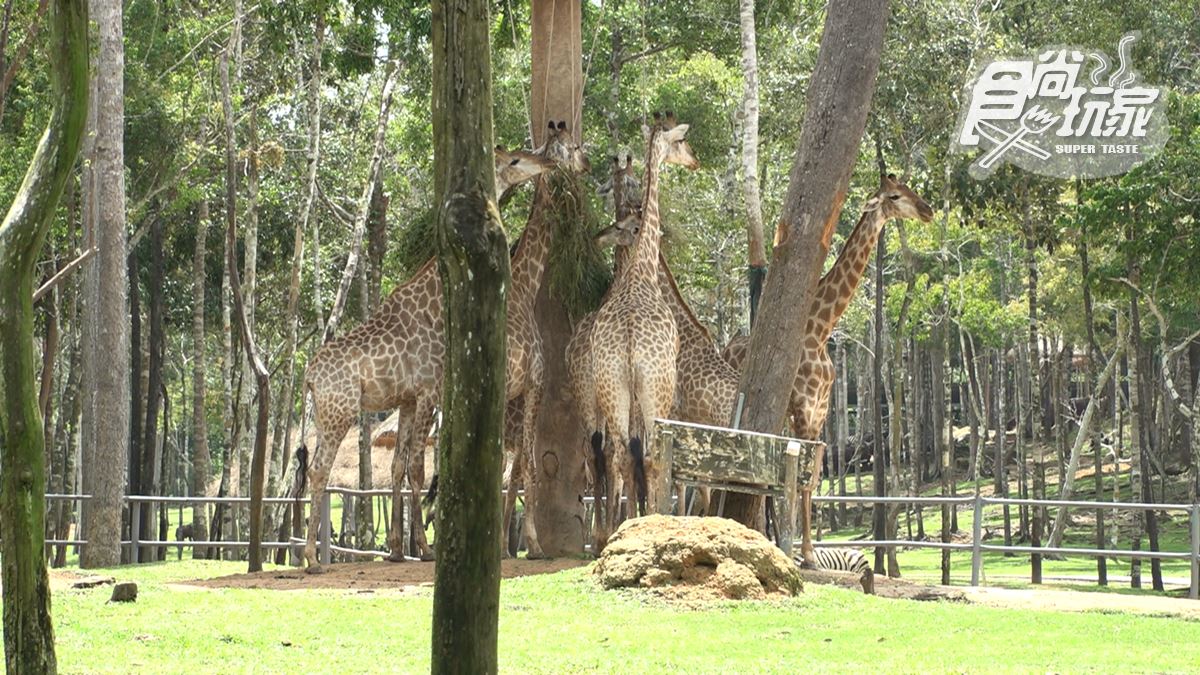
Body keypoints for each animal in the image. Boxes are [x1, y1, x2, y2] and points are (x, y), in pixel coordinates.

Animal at [304, 139, 571, 569]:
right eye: (514, 159)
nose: (545, 161)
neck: (432, 304)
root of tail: (309, 376)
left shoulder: (412, 399)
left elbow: (402, 467)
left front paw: (399, 549)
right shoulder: (430, 391)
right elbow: (417, 469)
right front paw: (425, 550)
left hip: (333, 414)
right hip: (338, 413)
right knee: (319, 470)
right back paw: (312, 557)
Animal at [588, 111, 700, 530]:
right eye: (681, 141)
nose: (695, 161)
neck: (642, 268)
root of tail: (630, 341)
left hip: (612, 388)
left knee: (619, 454)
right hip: (657, 390)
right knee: (651, 458)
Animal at [715, 171, 931, 562]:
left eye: (909, 188)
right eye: (894, 196)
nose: (928, 210)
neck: (820, 329)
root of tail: (725, 349)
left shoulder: (819, 411)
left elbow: (812, 475)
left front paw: (807, 547)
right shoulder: (802, 410)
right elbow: (801, 475)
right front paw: (801, 551)